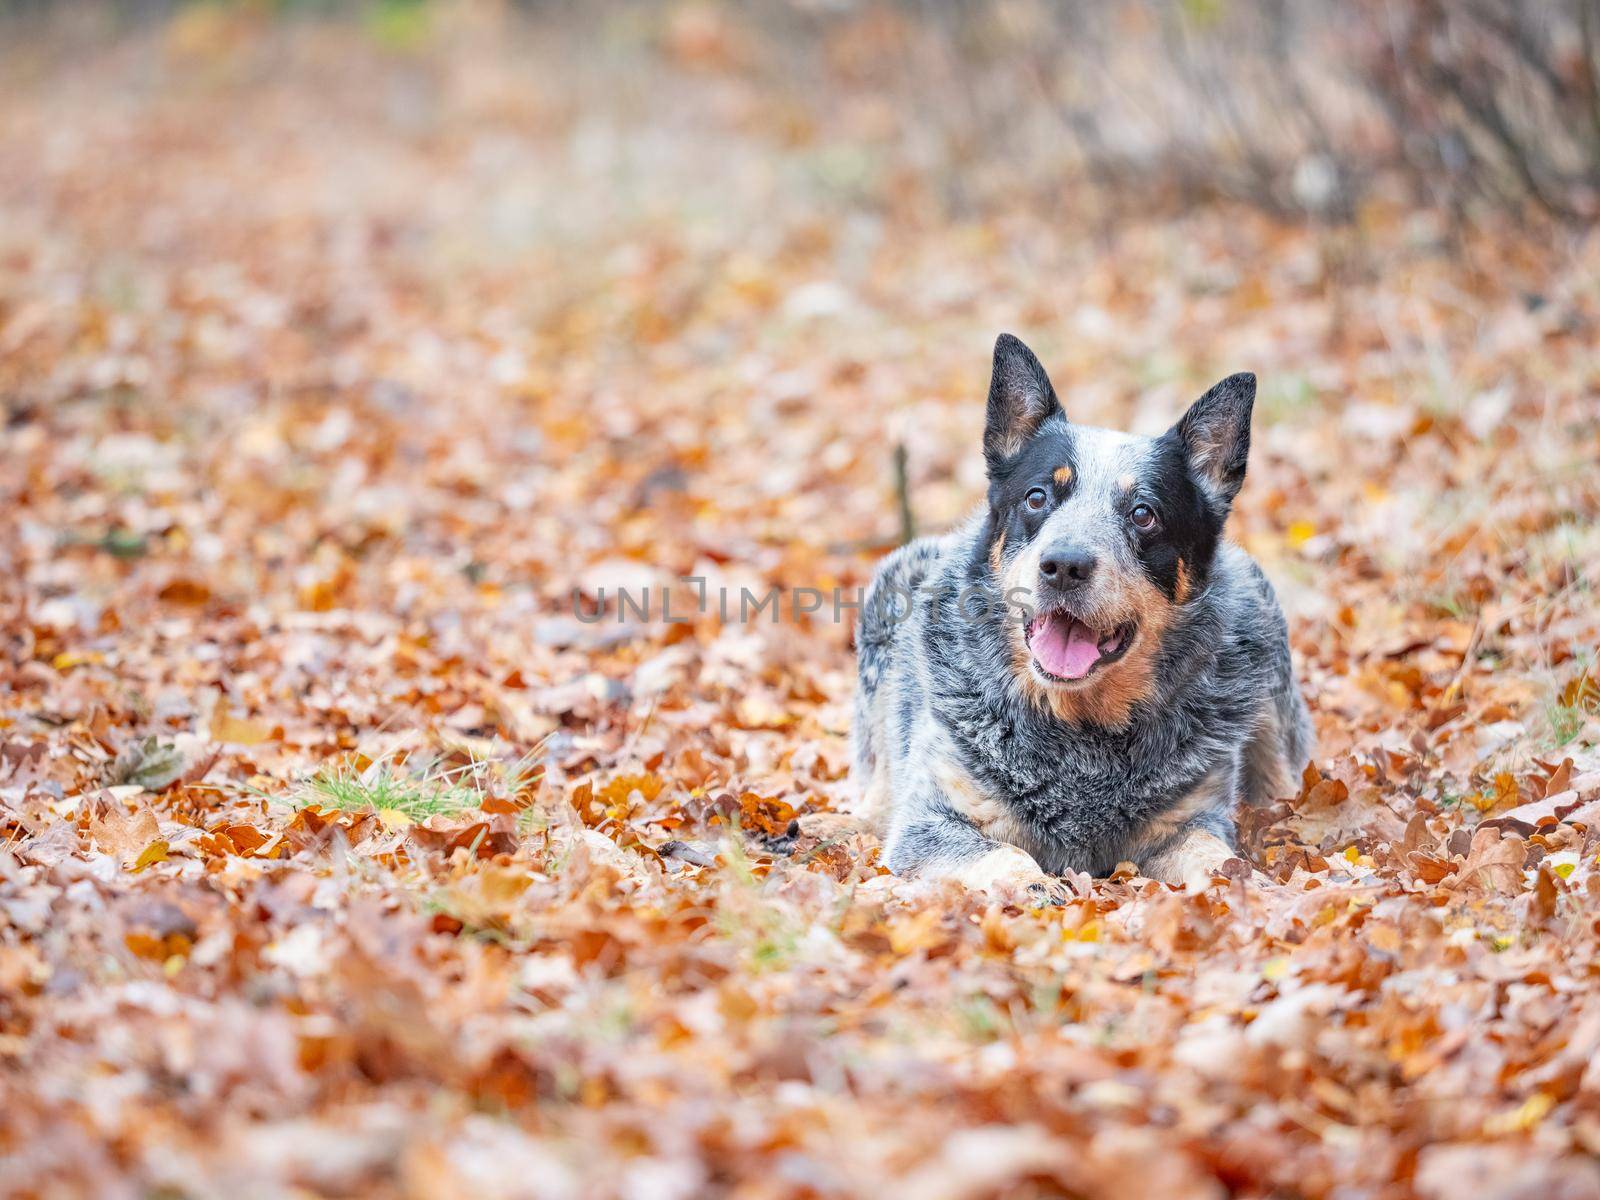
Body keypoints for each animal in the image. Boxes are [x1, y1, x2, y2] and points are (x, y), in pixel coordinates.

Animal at [851, 334, 1312, 896]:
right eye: (1037, 497)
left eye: (1143, 513)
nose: (1065, 565)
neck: (1079, 729)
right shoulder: (927, 825)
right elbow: (1002, 854)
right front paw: (1037, 887)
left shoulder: (1190, 821)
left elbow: (1213, 855)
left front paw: (1246, 887)